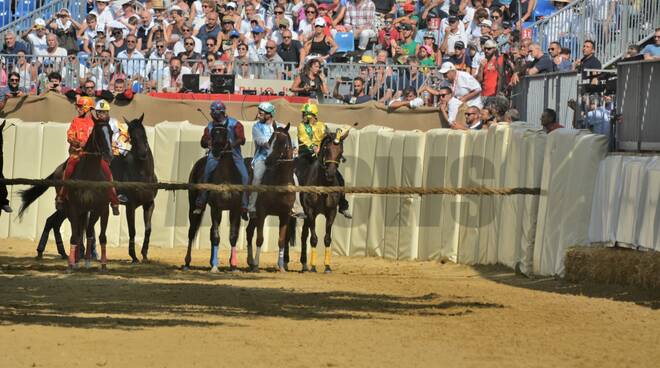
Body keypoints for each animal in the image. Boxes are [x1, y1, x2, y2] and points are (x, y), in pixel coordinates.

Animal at [111, 113, 159, 264]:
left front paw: (144, 254)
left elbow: (148, 229)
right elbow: (132, 230)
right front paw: (133, 256)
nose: (143, 153)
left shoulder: (149, 204)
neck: (143, 175)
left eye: (143, 133)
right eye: (132, 135)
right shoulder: (130, 206)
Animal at [184, 122, 244, 272]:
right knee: (192, 231)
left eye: (224, 133)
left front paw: (233, 265)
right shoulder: (216, 208)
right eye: (212, 133)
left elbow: (233, 235)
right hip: (193, 205)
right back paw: (187, 262)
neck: (226, 178)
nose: (215, 150)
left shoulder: (235, 209)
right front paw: (216, 267)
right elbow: (216, 236)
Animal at [246, 123, 296, 274]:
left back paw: (250, 261)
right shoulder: (262, 212)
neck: (279, 183)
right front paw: (257, 265)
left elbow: (281, 240)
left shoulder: (285, 215)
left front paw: (281, 266)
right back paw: (251, 262)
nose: (267, 161)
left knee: (249, 231)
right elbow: (260, 239)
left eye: (282, 142)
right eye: (270, 140)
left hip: (254, 217)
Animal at [300, 129, 350, 274]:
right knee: (304, 235)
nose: (330, 174)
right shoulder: (310, 212)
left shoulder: (331, 212)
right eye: (327, 149)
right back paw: (305, 265)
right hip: (306, 214)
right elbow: (313, 238)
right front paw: (313, 267)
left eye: (340, 150)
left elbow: (327, 239)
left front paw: (327, 266)